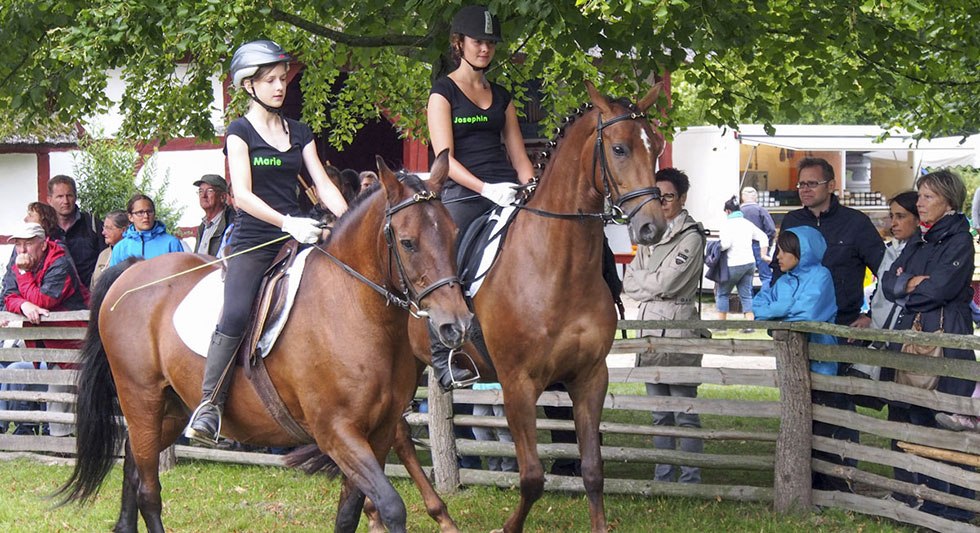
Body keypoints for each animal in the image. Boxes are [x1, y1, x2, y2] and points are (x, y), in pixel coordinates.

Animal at [56, 152, 472, 533]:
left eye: (454, 234)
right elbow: (390, 506)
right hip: (141, 398)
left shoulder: (379, 432)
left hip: (171, 409)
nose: (457, 325)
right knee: (148, 489)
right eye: (408, 242)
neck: (352, 308)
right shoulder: (337, 432)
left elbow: (349, 511)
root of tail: (131, 272)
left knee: (132, 463)